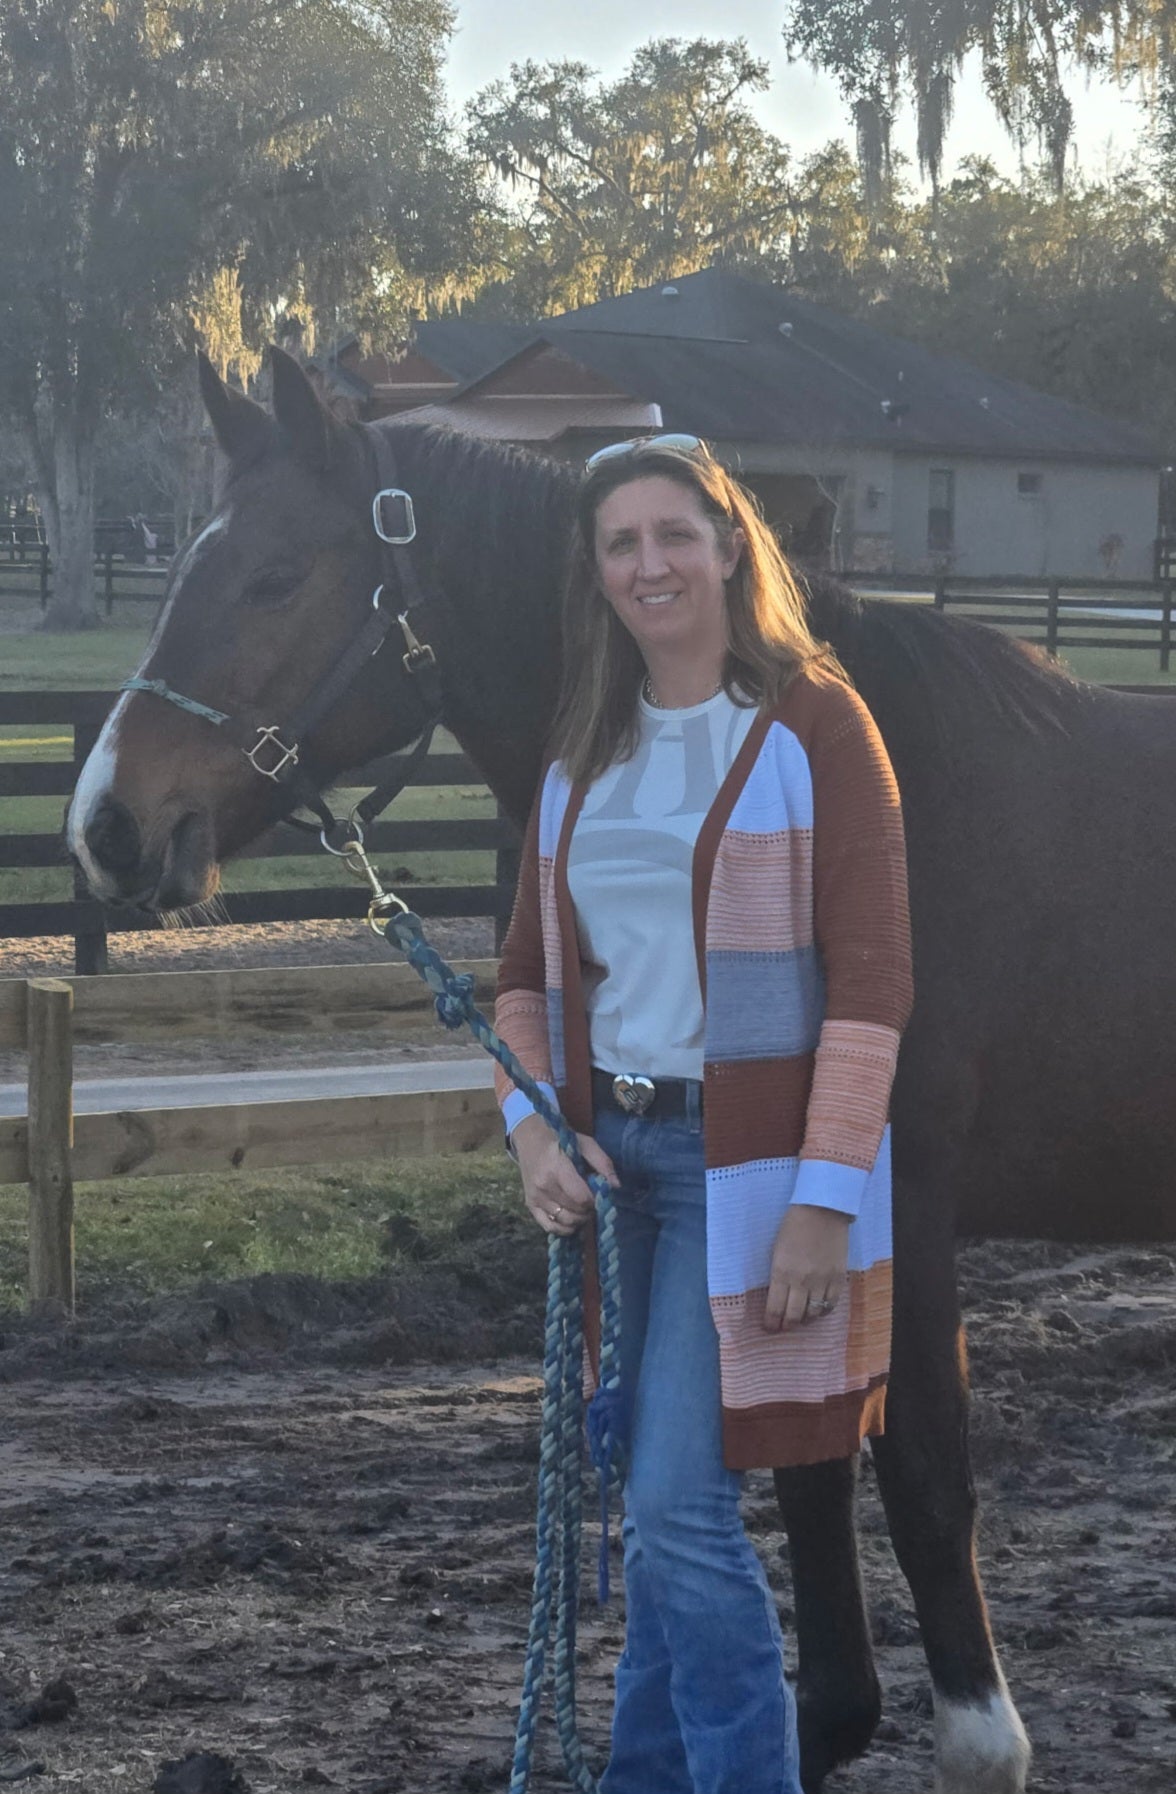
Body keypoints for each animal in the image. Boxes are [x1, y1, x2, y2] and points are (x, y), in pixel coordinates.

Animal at [66, 349, 1176, 1794]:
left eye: (274, 576)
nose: (104, 825)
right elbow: (804, 1466)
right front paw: (828, 1720)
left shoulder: (896, 1199)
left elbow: (922, 1468)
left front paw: (978, 1739)